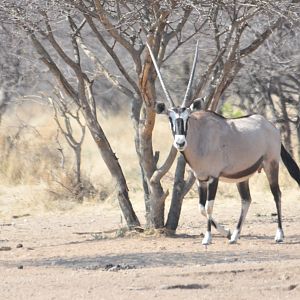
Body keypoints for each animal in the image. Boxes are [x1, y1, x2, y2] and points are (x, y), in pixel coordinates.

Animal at [147, 41, 300, 244]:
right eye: (170, 119)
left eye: (187, 118)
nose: (180, 142)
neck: (200, 137)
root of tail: (271, 127)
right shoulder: (200, 179)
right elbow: (201, 207)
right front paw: (225, 232)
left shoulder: (213, 177)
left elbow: (209, 206)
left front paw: (207, 238)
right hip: (243, 176)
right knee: (246, 200)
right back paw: (234, 236)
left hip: (271, 164)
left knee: (277, 194)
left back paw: (279, 235)